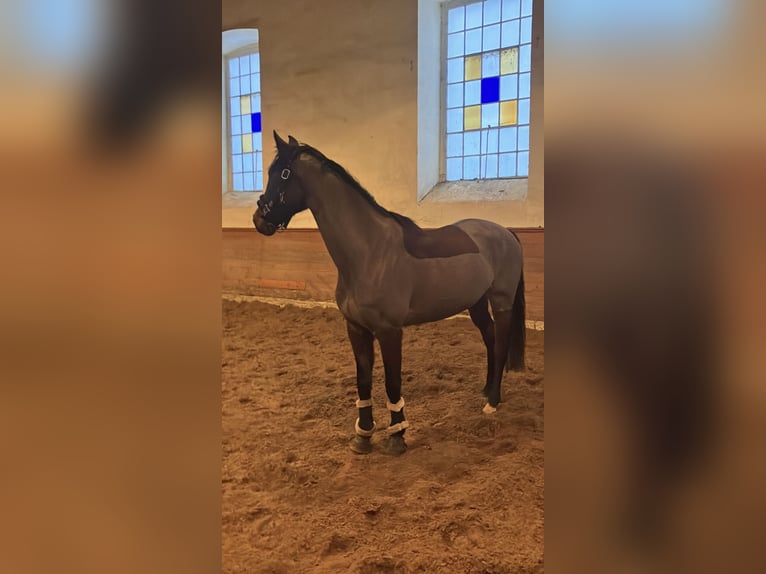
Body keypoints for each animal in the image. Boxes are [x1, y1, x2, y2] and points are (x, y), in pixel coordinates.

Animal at [253, 131, 526, 455]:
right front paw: (363, 435)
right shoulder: (356, 329)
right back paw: (485, 391)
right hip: (476, 304)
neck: (370, 251)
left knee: (502, 341)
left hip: (502, 301)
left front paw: (397, 436)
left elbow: (392, 382)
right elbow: (363, 380)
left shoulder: (390, 331)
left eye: (282, 173)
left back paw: (493, 401)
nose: (259, 219)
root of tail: (506, 232)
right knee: (491, 338)